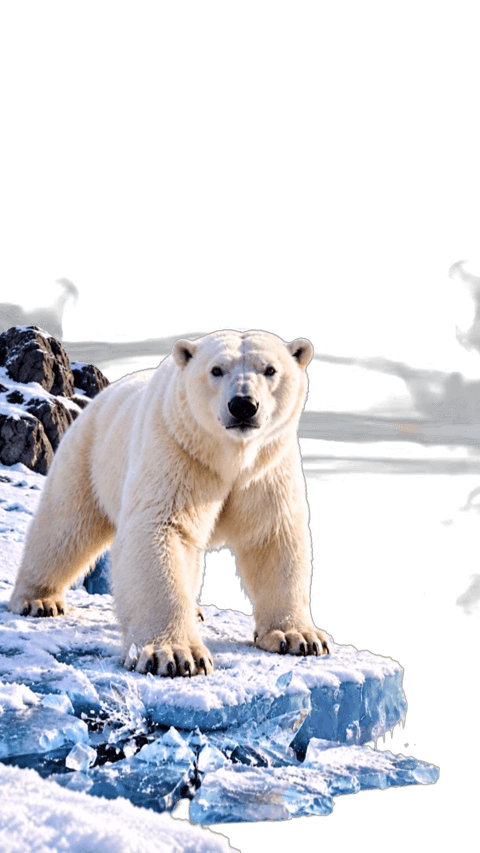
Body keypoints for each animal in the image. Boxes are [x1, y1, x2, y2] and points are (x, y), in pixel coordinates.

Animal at [8, 329, 331, 677]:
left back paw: (197, 611)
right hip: (89, 455)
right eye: (216, 370)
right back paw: (38, 600)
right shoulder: (176, 450)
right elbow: (159, 529)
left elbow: (273, 536)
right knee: (64, 526)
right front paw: (175, 655)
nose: (243, 405)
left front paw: (299, 637)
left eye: (270, 369)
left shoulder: (267, 469)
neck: (229, 456)